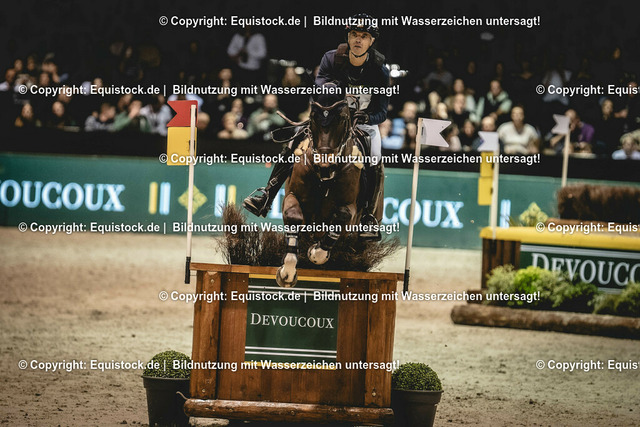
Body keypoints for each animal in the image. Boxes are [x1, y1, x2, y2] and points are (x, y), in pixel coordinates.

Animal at [275, 89, 383, 287]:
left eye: (342, 119)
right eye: (312, 117)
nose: (325, 167)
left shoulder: (350, 209)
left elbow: (341, 218)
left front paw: (315, 252)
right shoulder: (292, 196)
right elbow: (293, 216)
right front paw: (287, 273)